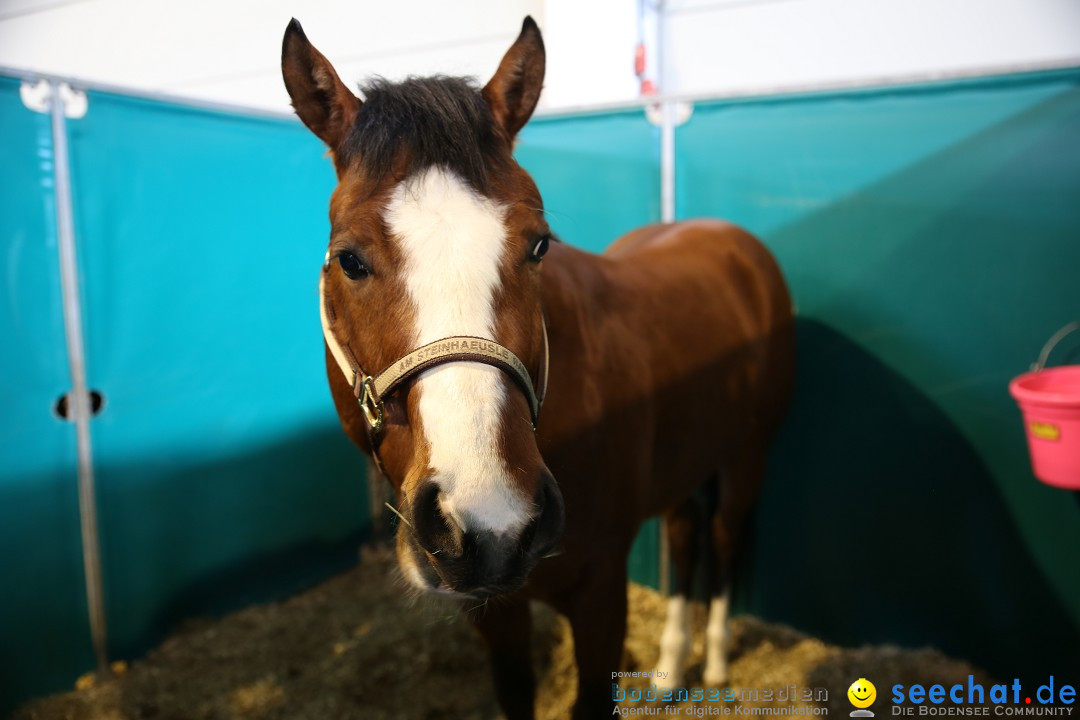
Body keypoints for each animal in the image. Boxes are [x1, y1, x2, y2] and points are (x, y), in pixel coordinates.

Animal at [282, 14, 799, 716]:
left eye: (538, 245)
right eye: (349, 260)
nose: (493, 523)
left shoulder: (602, 593)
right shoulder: (495, 612)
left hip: (749, 455)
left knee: (722, 536)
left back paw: (715, 661)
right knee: (685, 531)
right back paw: (670, 669)